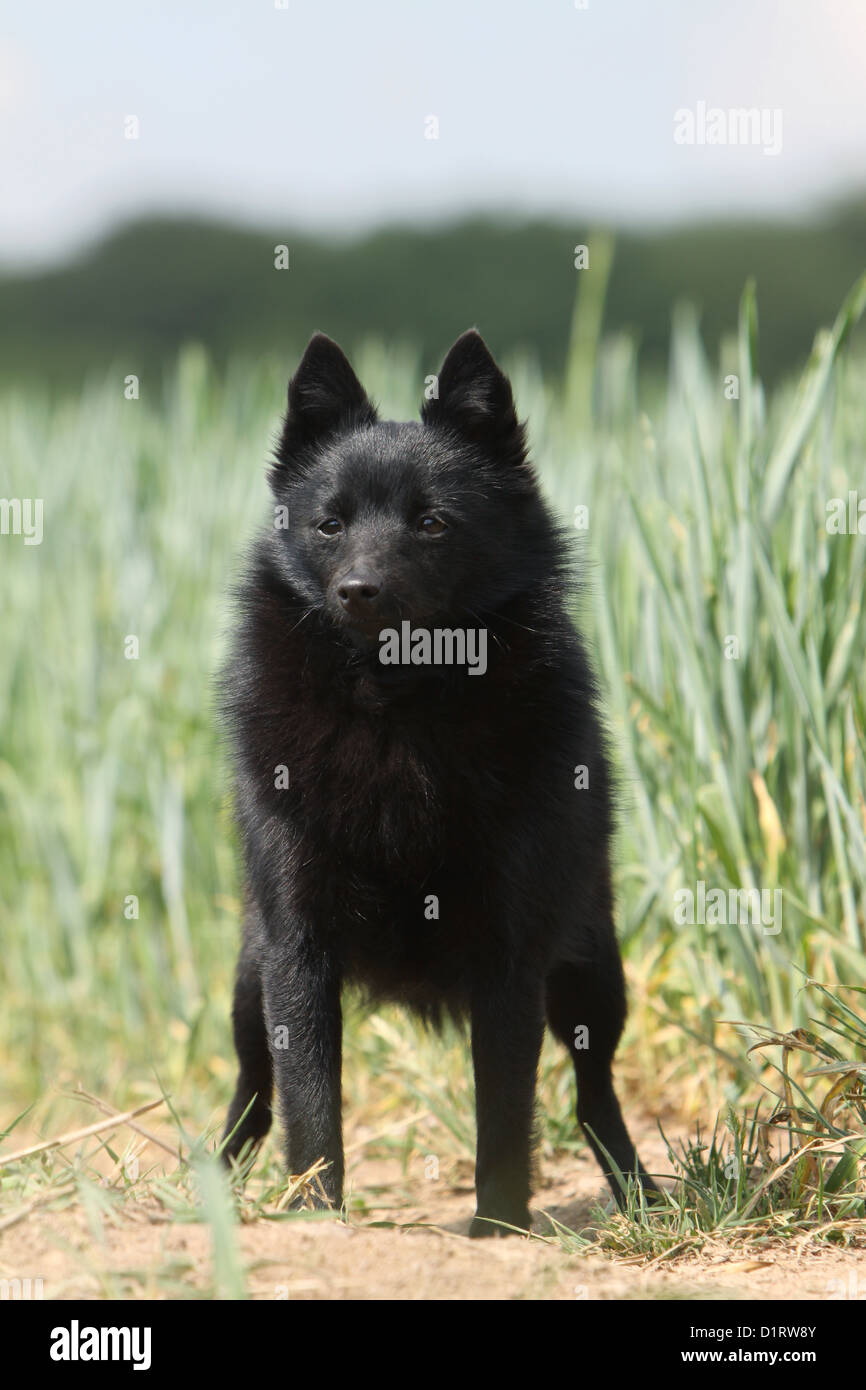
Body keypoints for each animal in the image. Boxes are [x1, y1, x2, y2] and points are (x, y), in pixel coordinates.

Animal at [218, 330, 656, 1234]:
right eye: (330, 523)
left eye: (431, 522)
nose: (359, 590)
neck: (398, 702)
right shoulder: (296, 948)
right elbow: (311, 1102)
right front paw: (317, 1216)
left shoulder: (511, 953)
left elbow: (506, 1110)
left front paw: (499, 1231)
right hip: (248, 983)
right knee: (252, 1094)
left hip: (593, 978)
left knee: (595, 1093)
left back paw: (642, 1195)